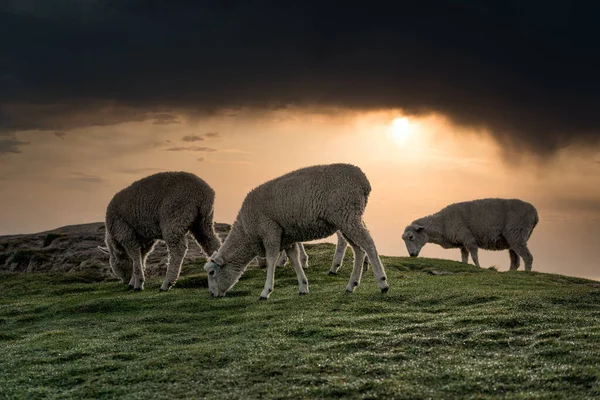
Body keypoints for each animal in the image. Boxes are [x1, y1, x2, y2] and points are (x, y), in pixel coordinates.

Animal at [202, 163, 390, 300]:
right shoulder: (287, 238)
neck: (246, 233)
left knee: (368, 244)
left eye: (212, 272)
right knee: (358, 249)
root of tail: (364, 182)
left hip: (347, 214)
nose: (212, 294)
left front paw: (266, 291)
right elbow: (294, 259)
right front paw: (303, 286)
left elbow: (271, 260)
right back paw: (352, 284)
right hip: (345, 220)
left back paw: (382, 282)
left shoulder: (270, 231)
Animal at [404, 198, 540, 270]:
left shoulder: (469, 239)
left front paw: (479, 268)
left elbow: (474, 257)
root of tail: (535, 213)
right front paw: (465, 265)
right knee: (515, 261)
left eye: (411, 237)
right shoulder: (462, 243)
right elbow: (464, 258)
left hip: (517, 234)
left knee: (528, 257)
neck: (442, 223)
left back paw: (527, 273)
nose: (411, 254)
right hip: (512, 239)